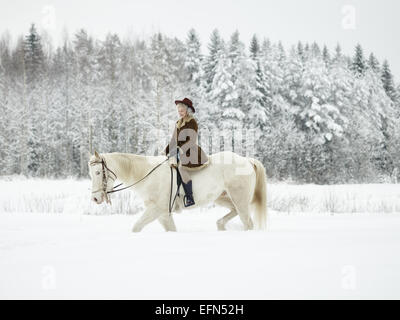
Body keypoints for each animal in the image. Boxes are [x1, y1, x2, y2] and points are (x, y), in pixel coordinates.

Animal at [88, 150, 268, 232]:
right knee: (233, 213)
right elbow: (171, 230)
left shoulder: (156, 210)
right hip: (223, 198)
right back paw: (221, 225)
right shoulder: (163, 215)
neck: (148, 175)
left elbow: (136, 227)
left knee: (247, 222)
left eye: (97, 173)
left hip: (239, 199)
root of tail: (247, 160)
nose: (95, 199)